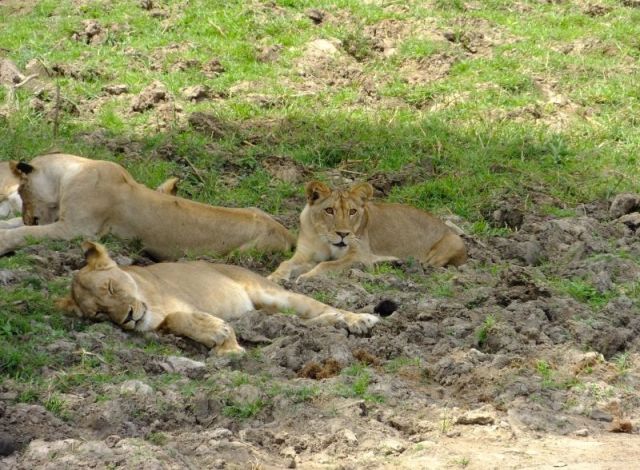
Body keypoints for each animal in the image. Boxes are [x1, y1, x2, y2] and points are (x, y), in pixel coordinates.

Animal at [0, 153, 295, 258]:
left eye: (22, 190)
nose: (27, 216)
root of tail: (289, 234)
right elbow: (14, 225)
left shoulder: (77, 229)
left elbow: (26, 233)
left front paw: (5, 241)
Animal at [58, 241, 379, 354]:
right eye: (99, 314)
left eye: (111, 287)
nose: (126, 317)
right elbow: (174, 321)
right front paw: (222, 340)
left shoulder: (178, 301)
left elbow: (178, 316)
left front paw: (223, 340)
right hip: (265, 312)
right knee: (299, 323)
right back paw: (331, 324)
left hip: (274, 295)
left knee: (319, 307)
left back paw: (360, 320)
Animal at [269, 180, 467, 281]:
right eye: (329, 210)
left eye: (352, 211)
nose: (343, 234)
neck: (325, 239)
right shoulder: (304, 253)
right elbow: (285, 264)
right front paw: (273, 278)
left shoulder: (359, 255)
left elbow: (326, 265)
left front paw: (306, 277)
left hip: (454, 241)